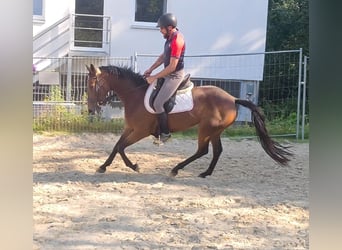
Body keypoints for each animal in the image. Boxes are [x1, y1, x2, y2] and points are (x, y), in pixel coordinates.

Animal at [86, 64, 292, 178]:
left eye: (92, 85)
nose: (90, 109)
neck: (135, 94)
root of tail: (233, 99)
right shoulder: (130, 128)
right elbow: (116, 146)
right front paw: (102, 167)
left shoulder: (140, 131)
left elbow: (121, 147)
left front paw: (134, 166)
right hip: (215, 131)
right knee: (217, 151)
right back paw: (205, 173)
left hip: (206, 129)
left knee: (202, 150)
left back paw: (176, 169)